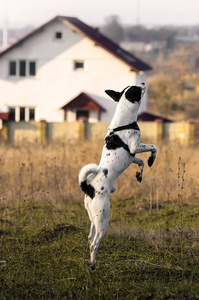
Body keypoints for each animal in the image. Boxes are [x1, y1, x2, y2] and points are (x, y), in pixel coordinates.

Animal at [78, 82, 158, 270]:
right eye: (137, 88)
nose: (143, 82)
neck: (125, 121)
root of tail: (89, 189)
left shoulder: (132, 156)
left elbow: (140, 162)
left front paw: (140, 174)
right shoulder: (135, 147)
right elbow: (154, 147)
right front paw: (152, 158)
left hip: (93, 218)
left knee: (89, 237)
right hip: (103, 219)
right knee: (94, 242)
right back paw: (93, 264)